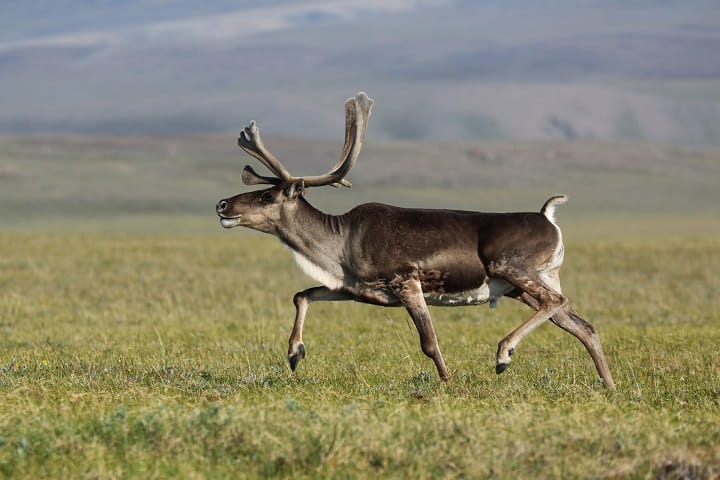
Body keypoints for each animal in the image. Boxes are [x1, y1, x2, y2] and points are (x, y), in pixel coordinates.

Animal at [215, 92, 615, 389]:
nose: (222, 204)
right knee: (582, 325)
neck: (338, 248)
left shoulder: (405, 280)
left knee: (559, 302)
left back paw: (503, 354)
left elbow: (429, 341)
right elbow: (302, 294)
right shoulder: (355, 288)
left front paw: (447, 381)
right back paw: (608, 385)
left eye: (267, 196)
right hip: (528, 284)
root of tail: (549, 216)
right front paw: (294, 353)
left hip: (512, 267)